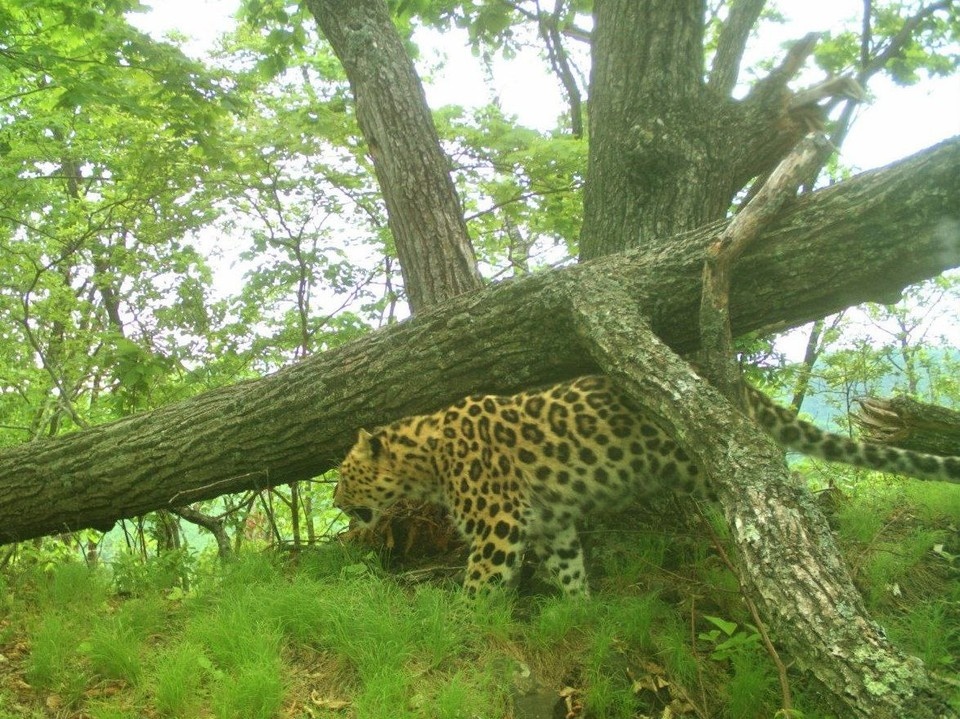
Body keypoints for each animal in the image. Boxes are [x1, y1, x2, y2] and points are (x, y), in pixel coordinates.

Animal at [334, 376, 956, 596]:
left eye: (342, 474)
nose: (337, 500)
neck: (425, 460)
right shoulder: (551, 523)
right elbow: (569, 570)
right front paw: (581, 615)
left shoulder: (498, 524)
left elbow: (481, 585)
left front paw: (465, 626)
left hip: (714, 467)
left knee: (785, 492)